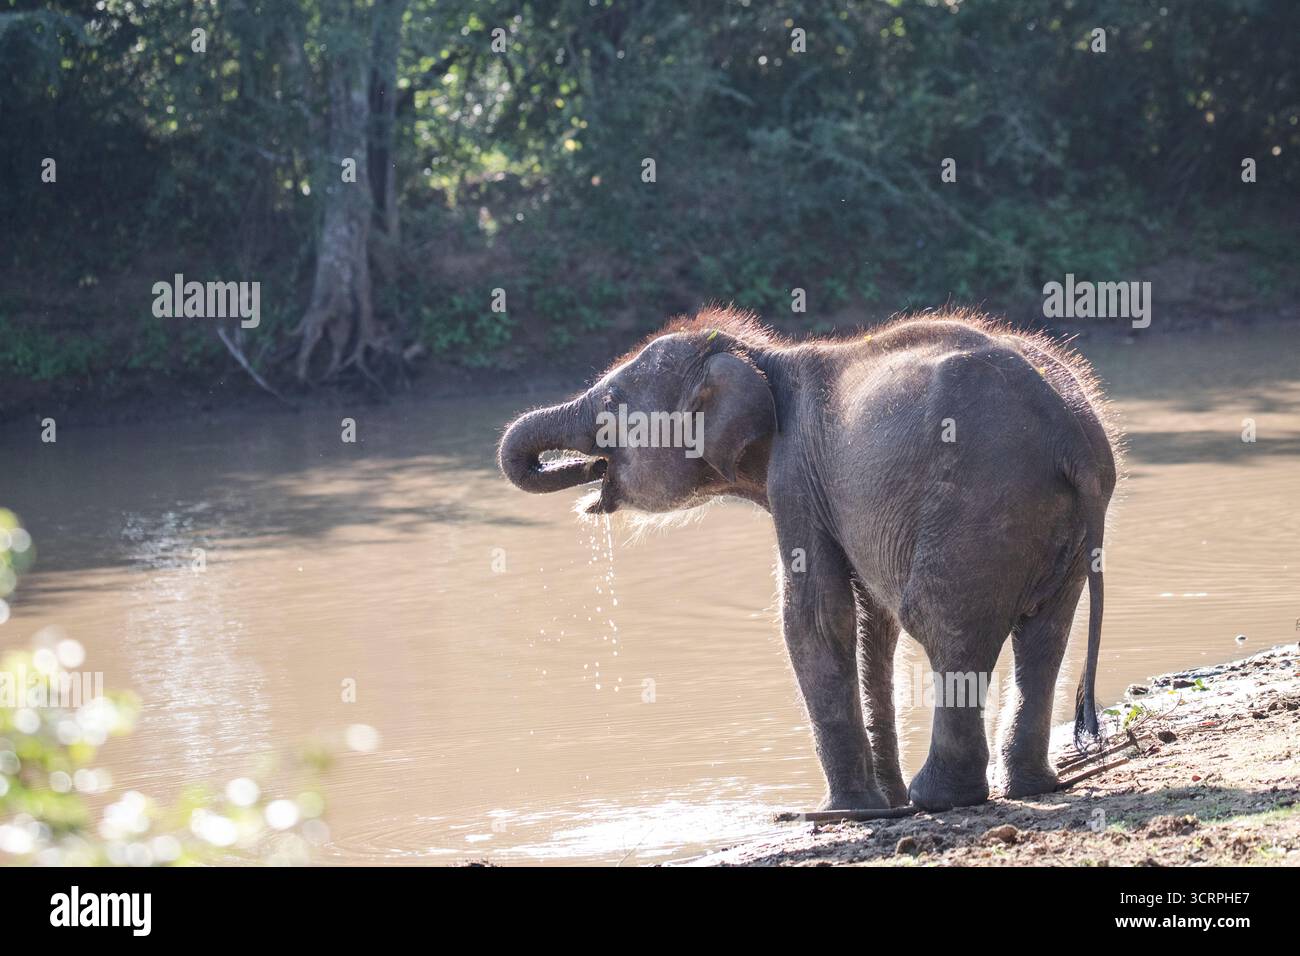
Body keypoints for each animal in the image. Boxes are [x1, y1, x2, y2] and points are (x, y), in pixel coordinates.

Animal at [498, 307, 1118, 811]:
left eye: (610, 408)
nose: (582, 468)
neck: (760, 359)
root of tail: (1072, 434)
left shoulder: (795, 473)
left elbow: (817, 617)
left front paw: (847, 811)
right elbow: (872, 621)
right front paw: (883, 803)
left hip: (978, 506)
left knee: (946, 625)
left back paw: (939, 799)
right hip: (1053, 529)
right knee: (1044, 634)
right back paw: (1026, 787)